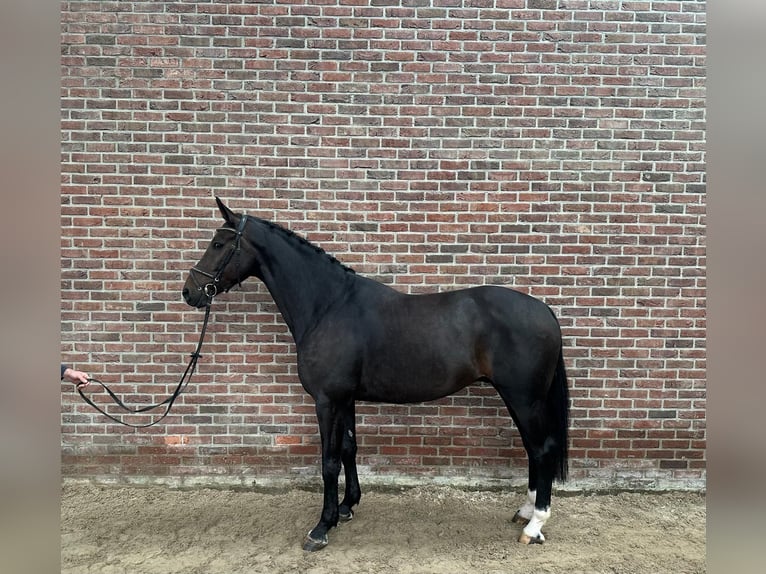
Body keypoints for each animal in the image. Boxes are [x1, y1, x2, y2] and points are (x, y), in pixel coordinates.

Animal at [183, 197, 570, 551]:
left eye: (218, 244)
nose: (190, 292)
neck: (328, 306)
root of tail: (545, 310)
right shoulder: (346, 398)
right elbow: (349, 448)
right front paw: (346, 507)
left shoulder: (327, 400)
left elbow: (328, 462)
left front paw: (321, 527)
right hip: (520, 399)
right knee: (532, 449)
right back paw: (524, 511)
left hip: (524, 399)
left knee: (542, 449)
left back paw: (535, 524)